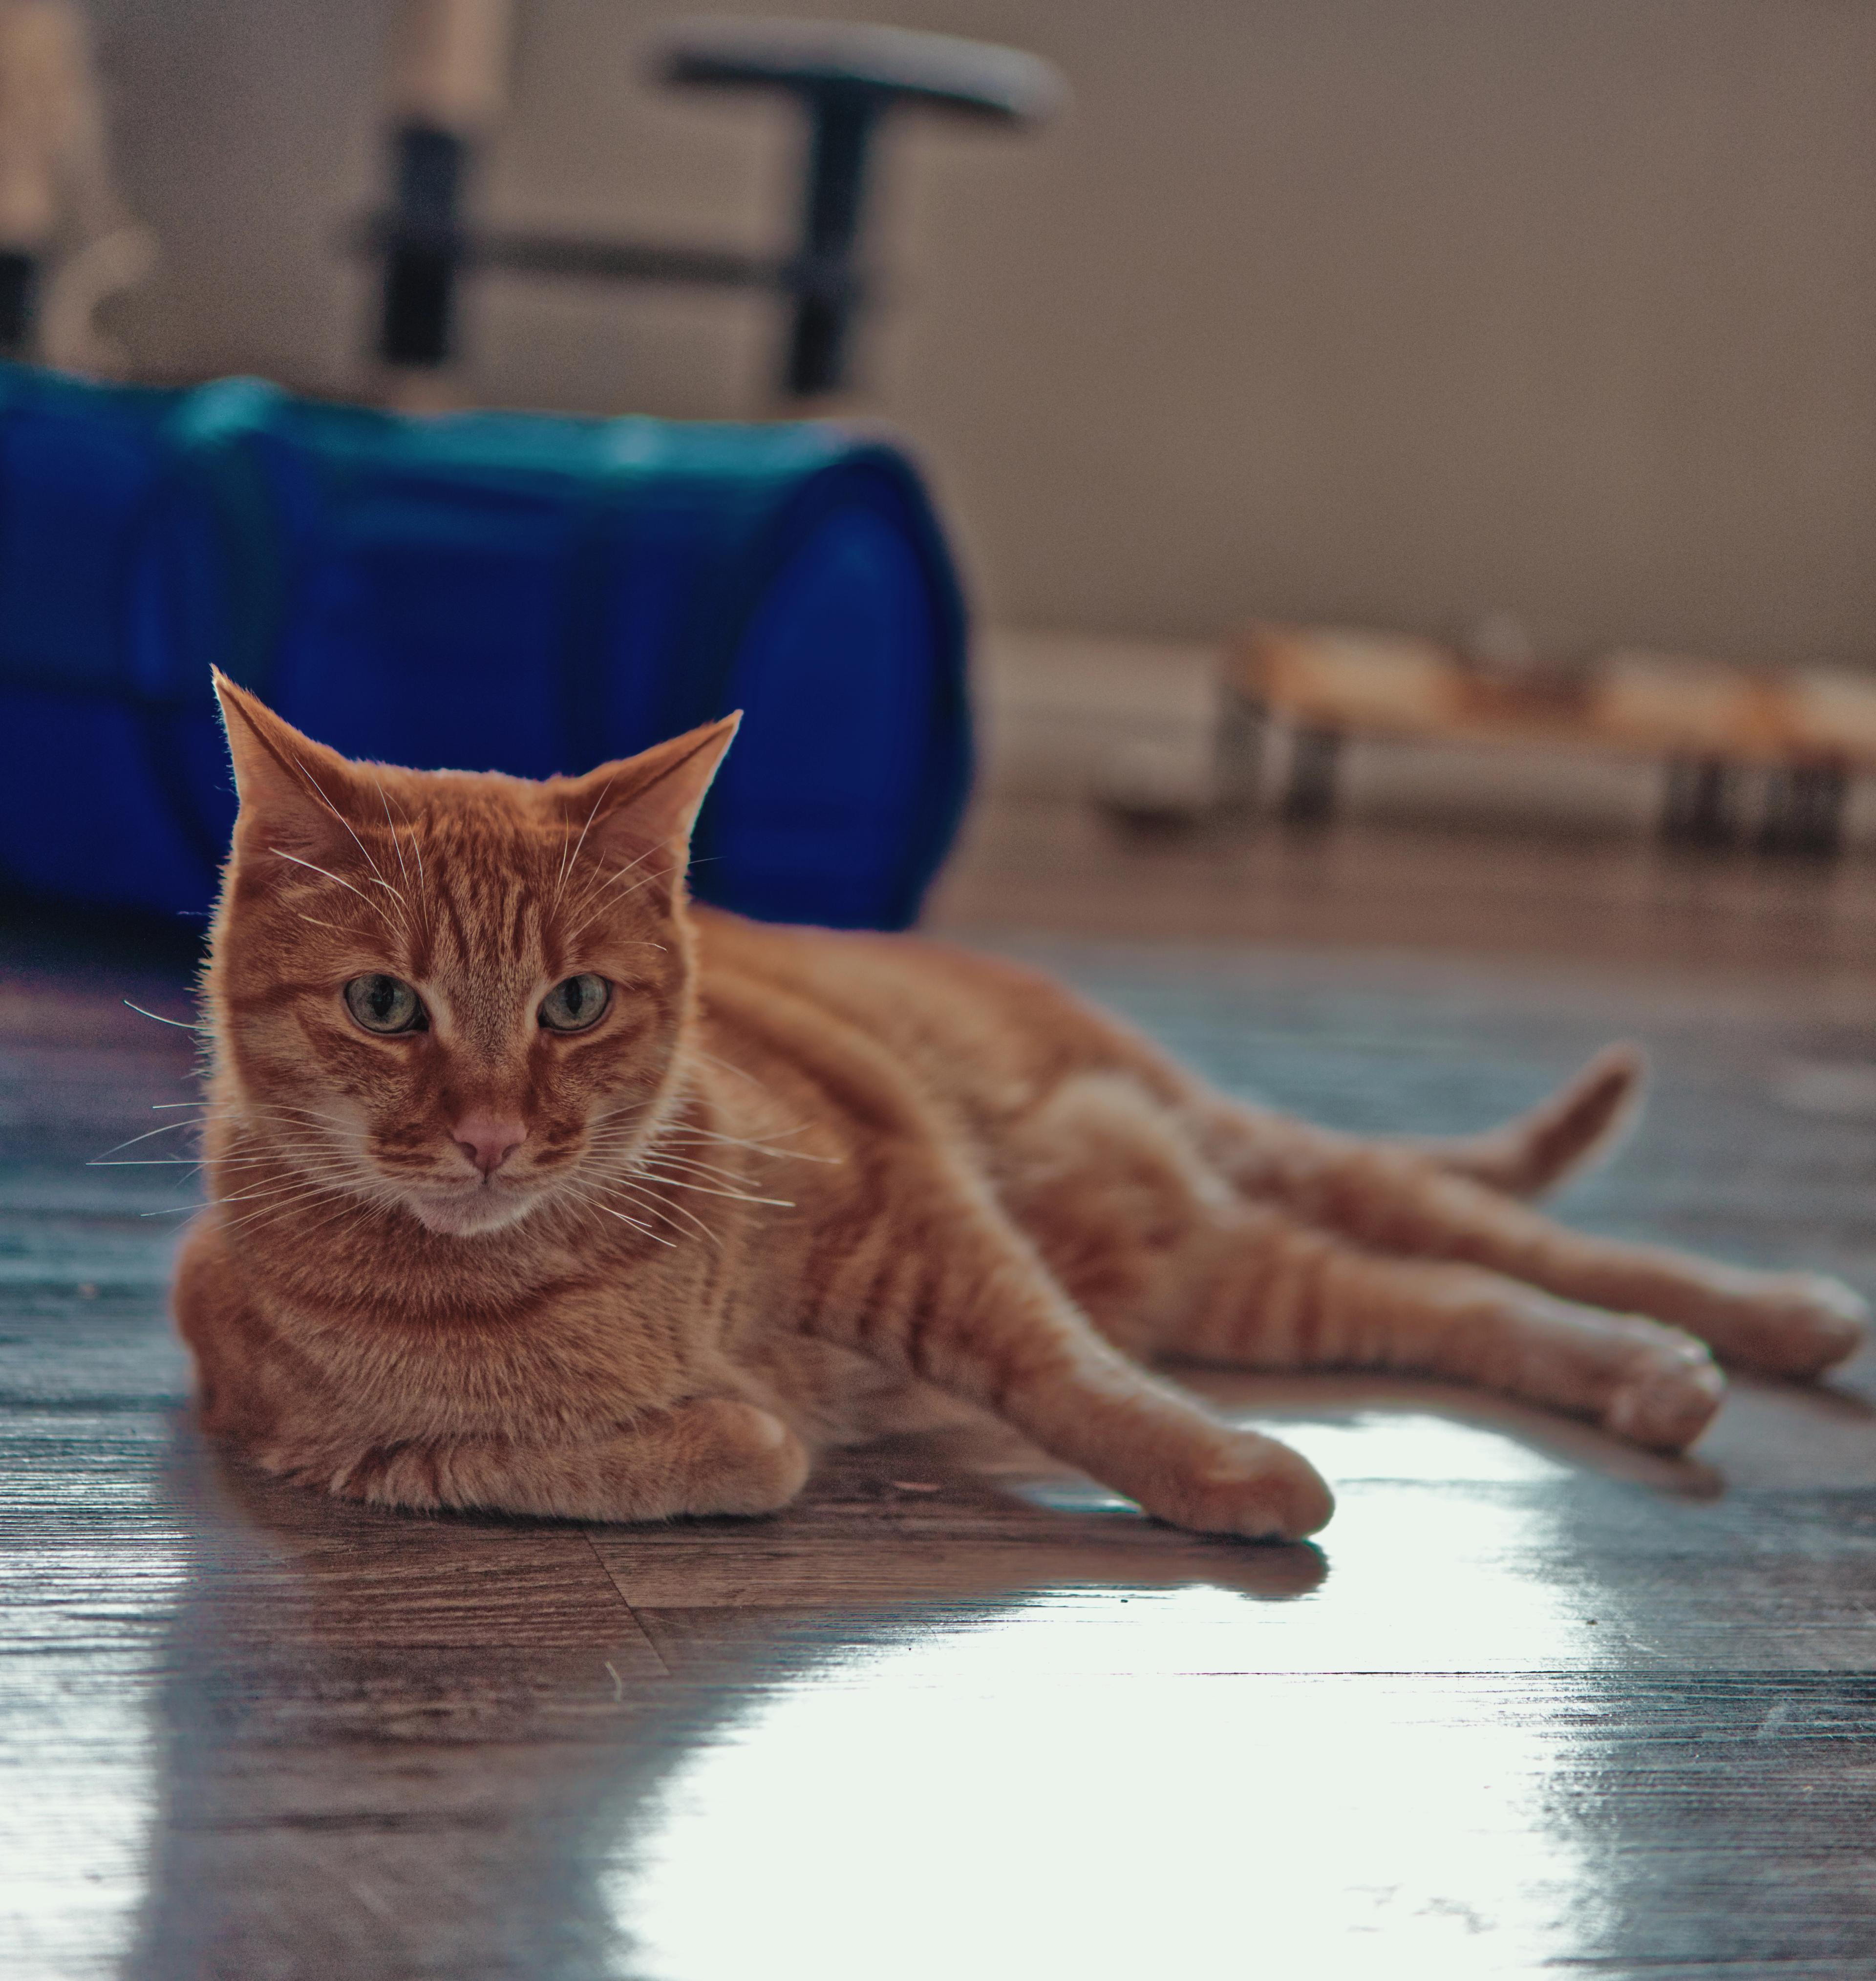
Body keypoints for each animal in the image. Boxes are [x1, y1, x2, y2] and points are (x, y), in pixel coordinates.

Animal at [172, 673, 1862, 1537]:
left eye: (573, 1005)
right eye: (386, 1007)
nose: (489, 1135)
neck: (544, 1266)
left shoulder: (910, 1203)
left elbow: (1070, 1377)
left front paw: (1233, 1476)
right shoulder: (313, 1437)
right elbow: (679, 1455)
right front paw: (733, 1420)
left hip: (1231, 1167)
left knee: (1536, 1246)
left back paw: (1769, 1317)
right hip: (1237, 1273)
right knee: (1448, 1297)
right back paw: (1649, 1377)